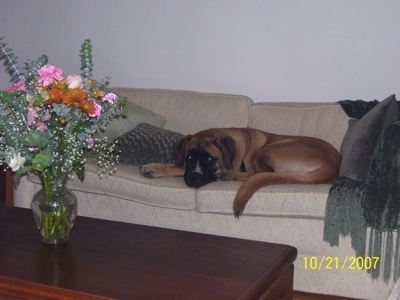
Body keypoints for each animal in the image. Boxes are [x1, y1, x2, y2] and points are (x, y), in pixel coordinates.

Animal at [139, 127, 340, 217]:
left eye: (210, 159)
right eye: (189, 157)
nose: (194, 177)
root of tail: (333, 163)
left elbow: (179, 168)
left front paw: (154, 167)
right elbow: (180, 168)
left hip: (266, 151)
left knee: (257, 174)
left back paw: (227, 175)